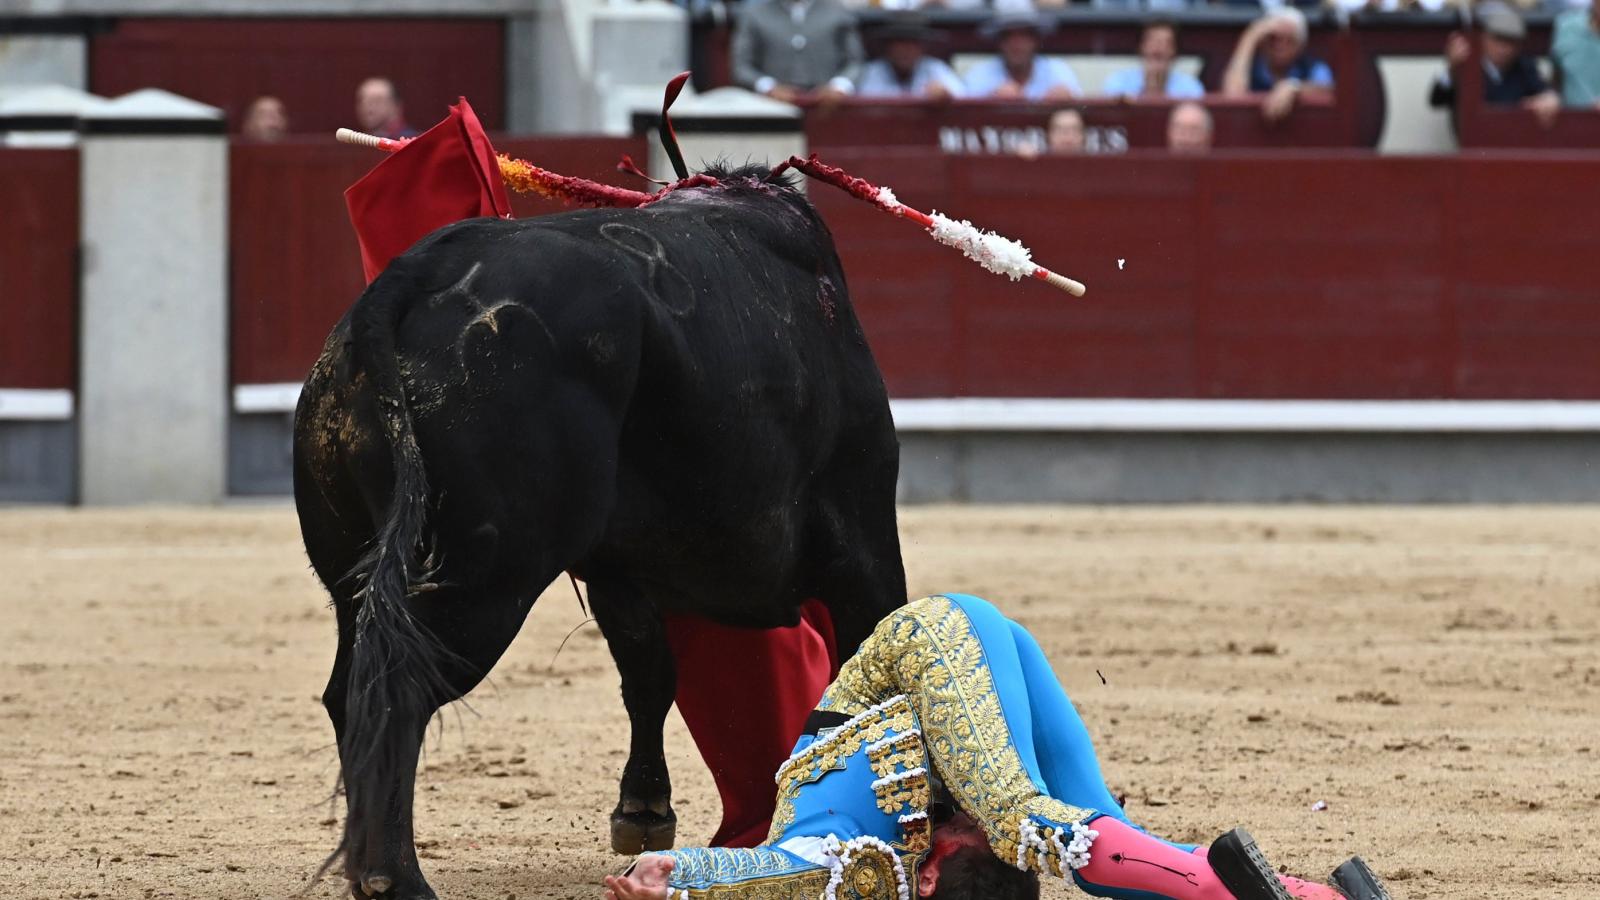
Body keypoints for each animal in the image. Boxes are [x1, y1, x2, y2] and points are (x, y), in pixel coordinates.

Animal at [292, 168, 908, 896]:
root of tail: (408, 277)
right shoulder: (863, 542)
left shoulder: (621, 566)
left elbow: (649, 675)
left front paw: (643, 811)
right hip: (483, 581)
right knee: (400, 695)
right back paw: (397, 878)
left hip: (353, 571)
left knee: (351, 695)